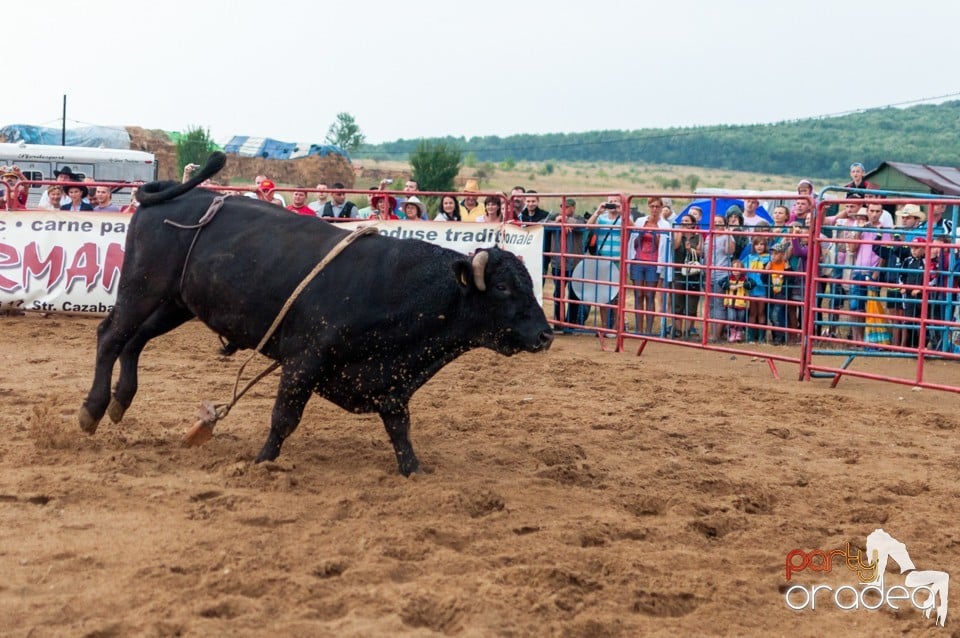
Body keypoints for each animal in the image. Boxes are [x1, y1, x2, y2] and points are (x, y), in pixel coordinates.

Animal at [80, 154, 556, 476]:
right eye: (502, 287)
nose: (545, 335)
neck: (400, 287)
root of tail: (185, 194)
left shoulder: (390, 380)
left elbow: (400, 429)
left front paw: (414, 470)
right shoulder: (304, 360)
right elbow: (284, 418)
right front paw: (262, 462)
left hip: (175, 303)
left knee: (135, 340)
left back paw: (121, 401)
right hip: (142, 287)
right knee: (111, 335)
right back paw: (93, 409)